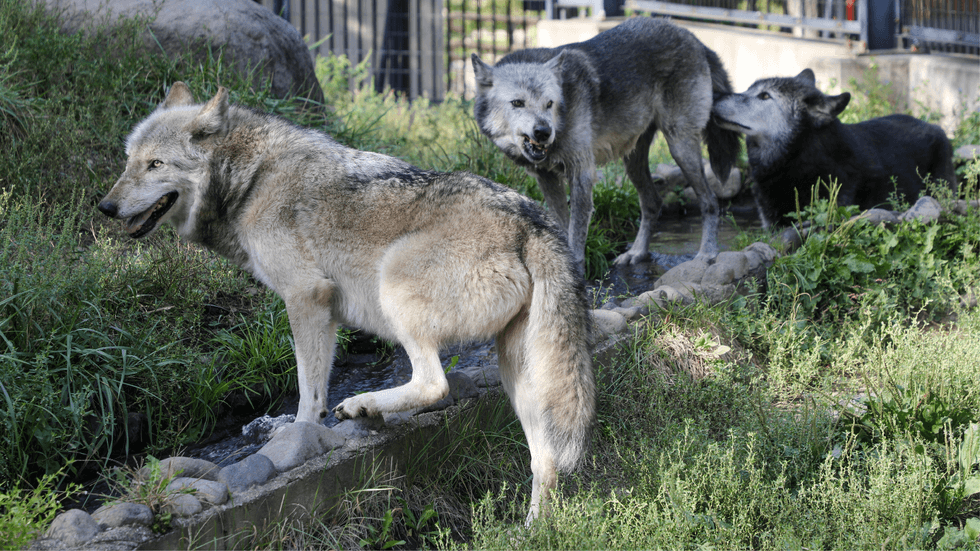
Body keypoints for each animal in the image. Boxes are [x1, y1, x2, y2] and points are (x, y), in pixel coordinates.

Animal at [97, 82, 595, 525]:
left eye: (155, 164)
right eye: (129, 162)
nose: (105, 207)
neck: (251, 180)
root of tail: (533, 222)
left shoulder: (306, 297)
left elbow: (308, 390)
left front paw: (299, 432)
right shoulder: (326, 311)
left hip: (394, 289)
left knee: (435, 385)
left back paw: (363, 405)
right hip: (521, 377)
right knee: (545, 462)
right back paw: (531, 527)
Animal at [471, 16, 741, 270]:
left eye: (549, 103)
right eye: (517, 103)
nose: (544, 132)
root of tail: (694, 38)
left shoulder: (581, 173)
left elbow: (575, 237)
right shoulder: (546, 178)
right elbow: (562, 227)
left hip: (680, 146)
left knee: (710, 201)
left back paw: (707, 254)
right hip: (633, 162)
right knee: (653, 202)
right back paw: (637, 253)